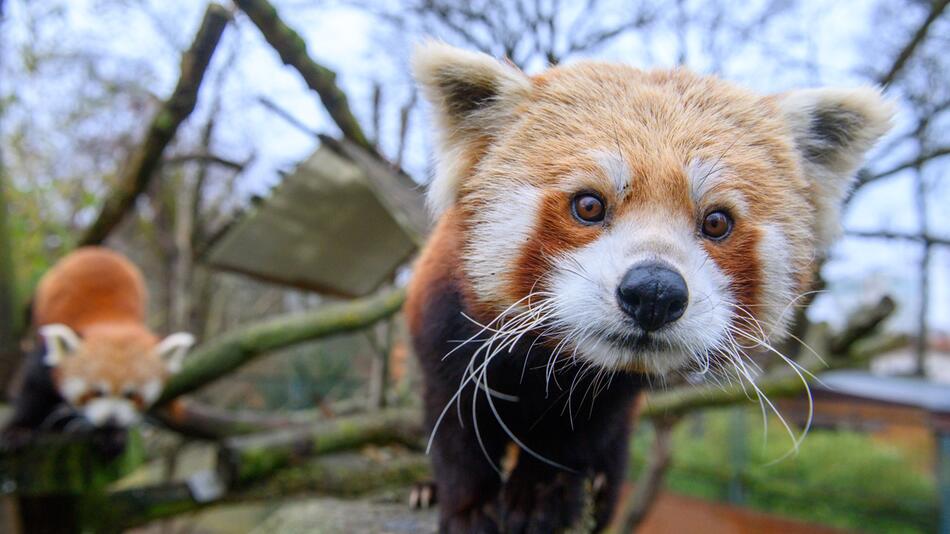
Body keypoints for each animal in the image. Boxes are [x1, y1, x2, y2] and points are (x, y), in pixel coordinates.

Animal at [406, 43, 896, 534]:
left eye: (717, 222)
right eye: (588, 205)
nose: (655, 293)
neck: (550, 363)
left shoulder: (614, 397)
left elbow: (579, 435)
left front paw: (543, 496)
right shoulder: (446, 325)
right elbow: (456, 424)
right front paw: (470, 507)